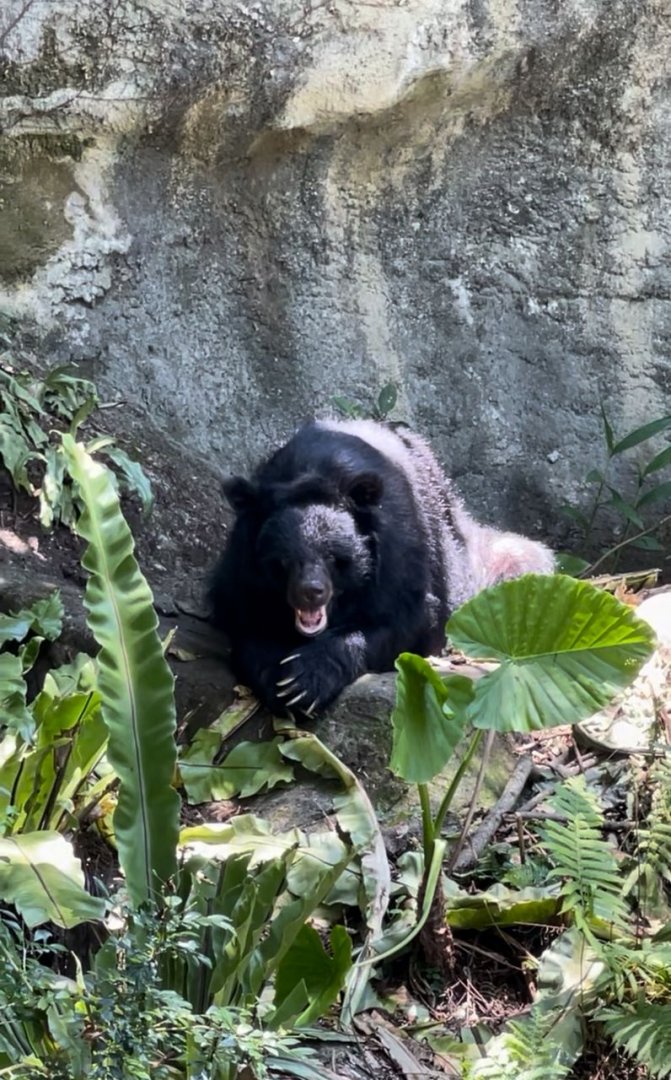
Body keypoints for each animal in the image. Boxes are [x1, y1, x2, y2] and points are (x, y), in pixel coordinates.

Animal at [208, 419, 554, 718]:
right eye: (283, 560)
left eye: (333, 557)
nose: (310, 592)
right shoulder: (241, 570)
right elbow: (244, 626)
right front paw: (280, 682)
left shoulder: (397, 548)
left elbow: (404, 621)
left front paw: (305, 681)